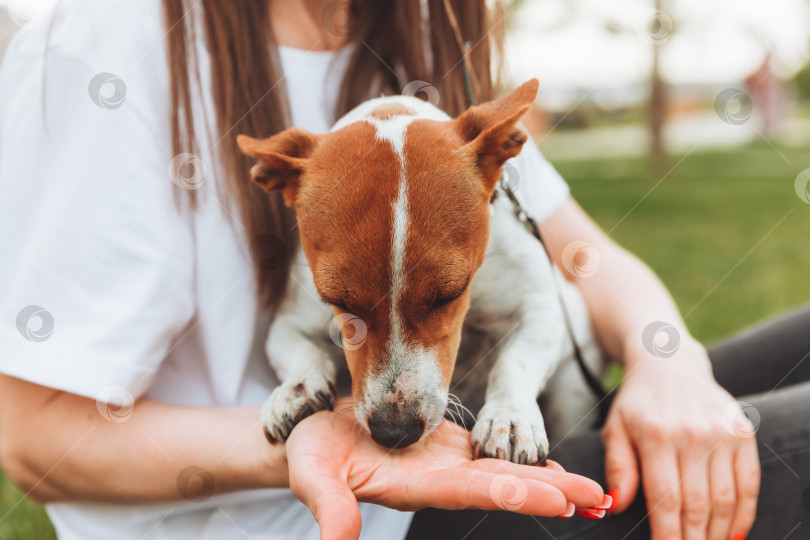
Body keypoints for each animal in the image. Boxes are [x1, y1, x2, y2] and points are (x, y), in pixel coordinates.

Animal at [234, 79, 600, 464]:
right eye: (339, 303)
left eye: (450, 294)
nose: (394, 433)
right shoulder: (287, 325)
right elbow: (302, 352)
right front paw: (296, 389)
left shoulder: (540, 311)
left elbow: (514, 363)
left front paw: (509, 417)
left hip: (573, 386)